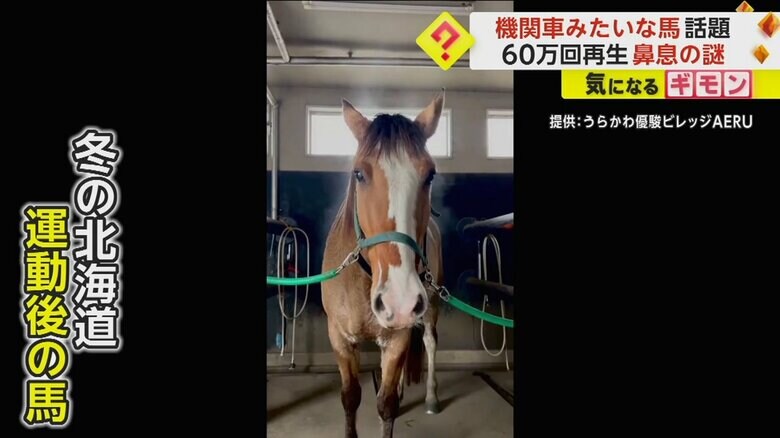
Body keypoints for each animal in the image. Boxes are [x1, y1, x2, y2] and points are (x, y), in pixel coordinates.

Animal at [321, 91, 445, 438]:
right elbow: (351, 397)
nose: (398, 301)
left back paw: (431, 397)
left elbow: (386, 405)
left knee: (430, 342)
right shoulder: (339, 338)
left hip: (431, 306)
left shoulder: (398, 337)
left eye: (430, 175)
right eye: (359, 174)